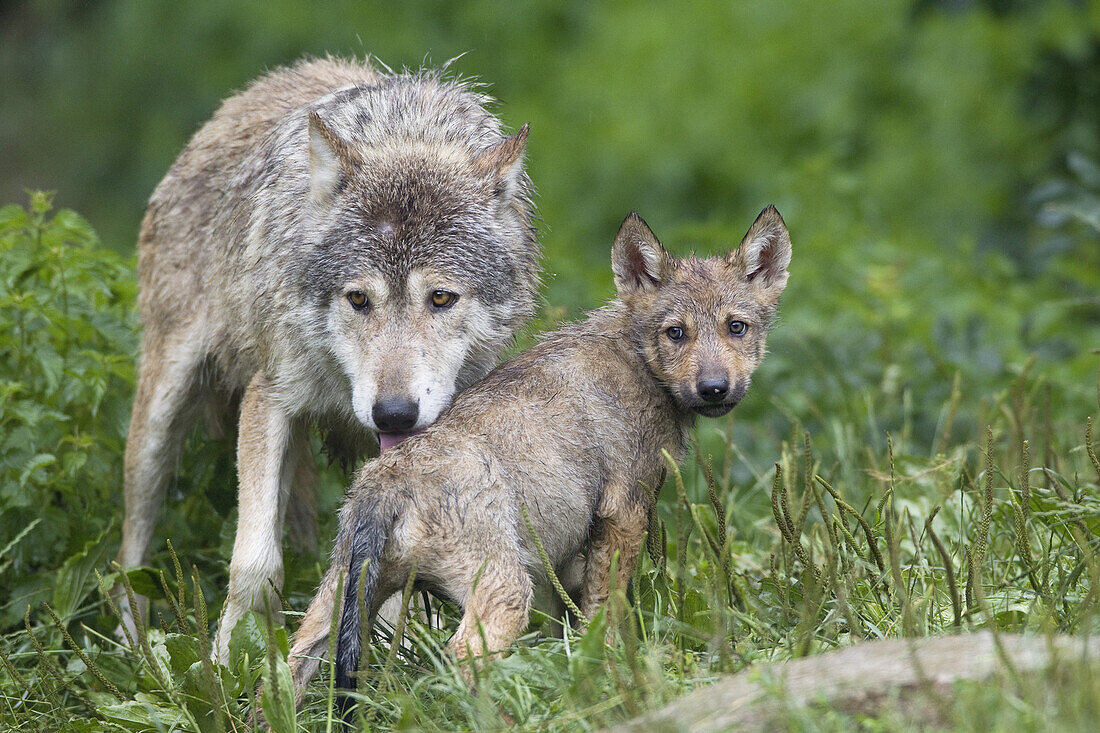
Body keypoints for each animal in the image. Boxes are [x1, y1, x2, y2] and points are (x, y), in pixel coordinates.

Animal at [113, 54, 539, 651]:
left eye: (441, 298)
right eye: (358, 298)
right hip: (160, 420)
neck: (406, 131)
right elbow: (255, 566)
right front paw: (227, 664)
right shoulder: (270, 397)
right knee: (131, 548)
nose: (393, 413)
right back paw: (129, 645)